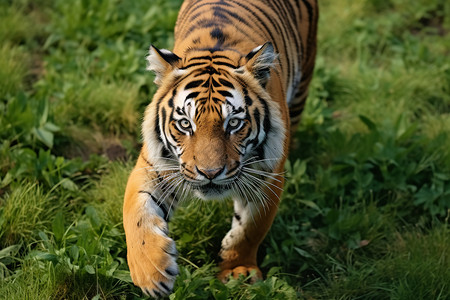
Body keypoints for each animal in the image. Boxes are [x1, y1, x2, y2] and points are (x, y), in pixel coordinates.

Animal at [122, 0, 316, 296]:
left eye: (233, 123)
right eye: (185, 123)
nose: (210, 173)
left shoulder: (267, 176)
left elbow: (250, 229)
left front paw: (238, 271)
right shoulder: (154, 166)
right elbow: (135, 213)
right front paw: (151, 272)